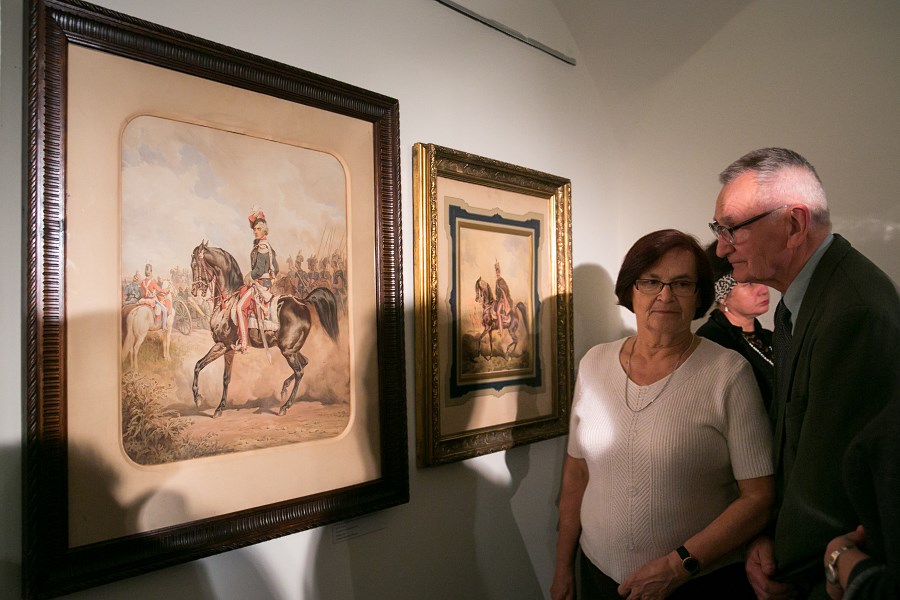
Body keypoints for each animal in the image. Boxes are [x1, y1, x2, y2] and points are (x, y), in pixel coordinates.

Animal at [190, 241, 340, 417]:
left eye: (195, 265)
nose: (193, 291)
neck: (227, 302)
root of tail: (302, 302)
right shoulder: (225, 348)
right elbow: (207, 369)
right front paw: (210, 403)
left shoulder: (224, 345)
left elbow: (212, 372)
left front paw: (203, 400)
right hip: (291, 349)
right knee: (305, 362)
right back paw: (284, 388)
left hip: (288, 350)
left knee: (299, 371)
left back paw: (285, 406)